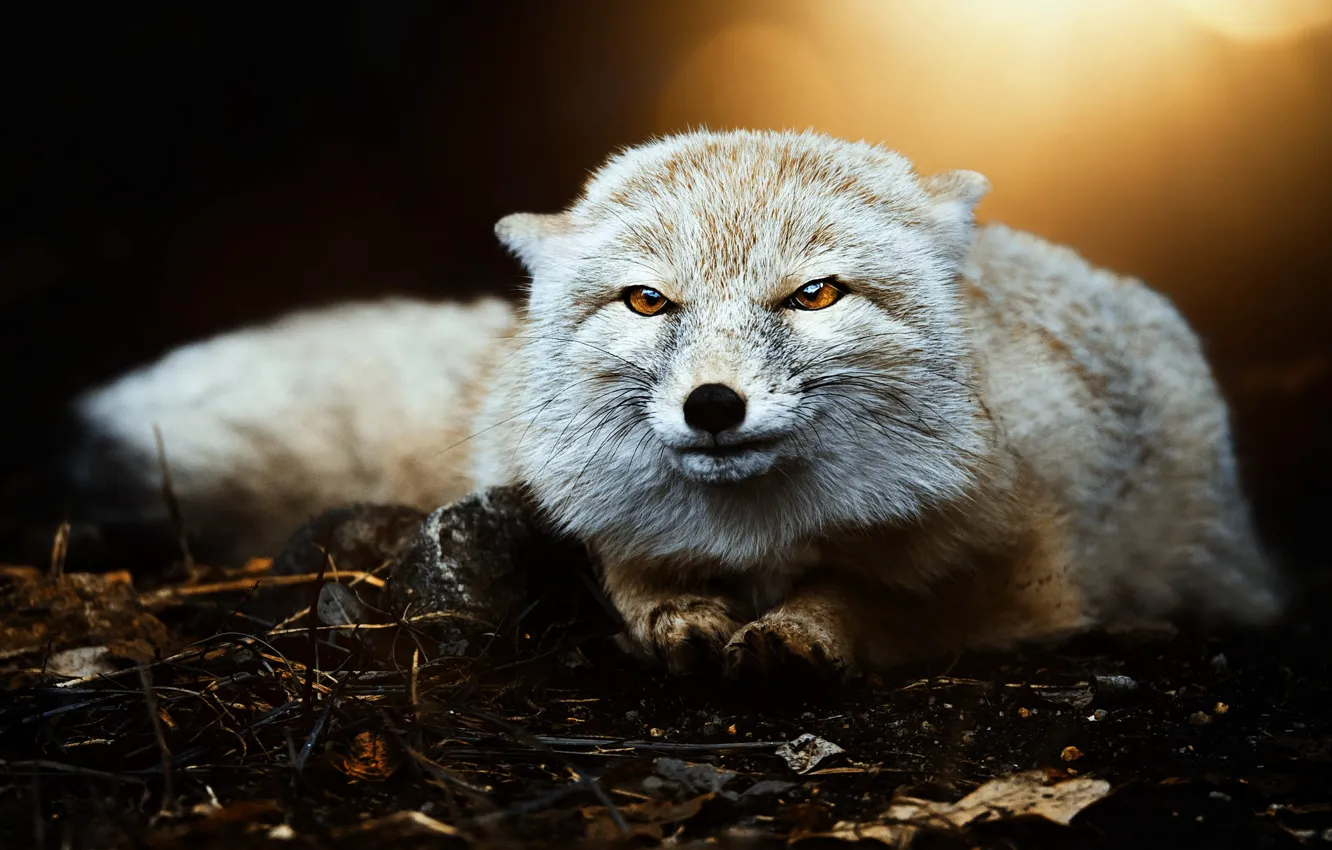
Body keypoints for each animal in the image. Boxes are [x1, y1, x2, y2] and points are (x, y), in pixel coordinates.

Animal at [70, 129, 1282, 676]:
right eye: (649, 300)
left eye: (814, 294)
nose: (712, 406)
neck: (759, 542)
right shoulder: (578, 507)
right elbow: (626, 567)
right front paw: (672, 608)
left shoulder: (1026, 578)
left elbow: (883, 600)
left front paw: (812, 624)